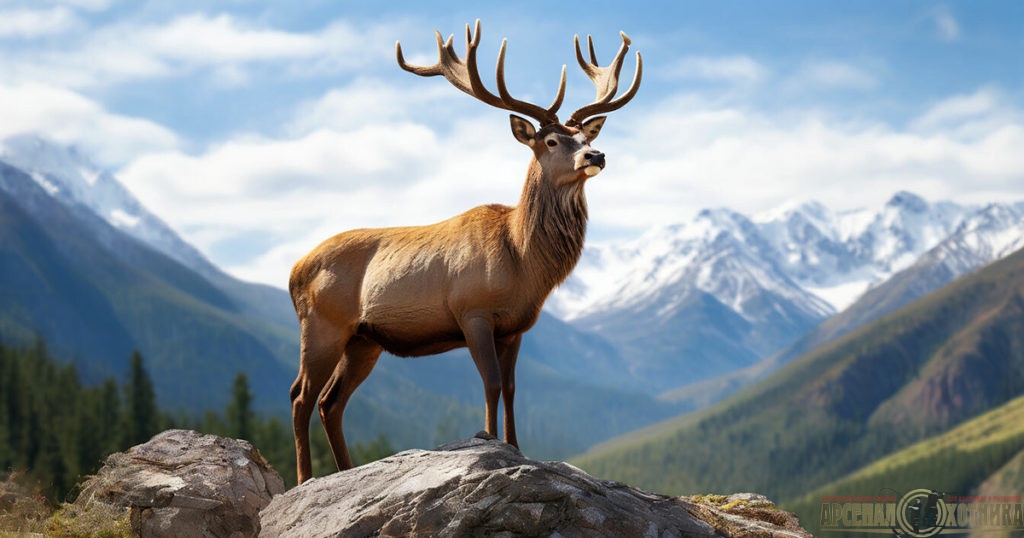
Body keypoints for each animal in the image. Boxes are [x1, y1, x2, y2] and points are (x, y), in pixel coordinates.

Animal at [288, 20, 641, 484]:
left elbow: (511, 388)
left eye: (585, 135)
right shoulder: (472, 311)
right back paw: (305, 479)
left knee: (331, 401)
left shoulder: (516, 327)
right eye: (550, 141)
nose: (595, 154)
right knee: (300, 395)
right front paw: (490, 443)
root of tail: (292, 272)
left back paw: (346, 472)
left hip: (363, 340)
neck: (522, 262)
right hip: (322, 324)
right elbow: (490, 383)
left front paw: (515, 447)